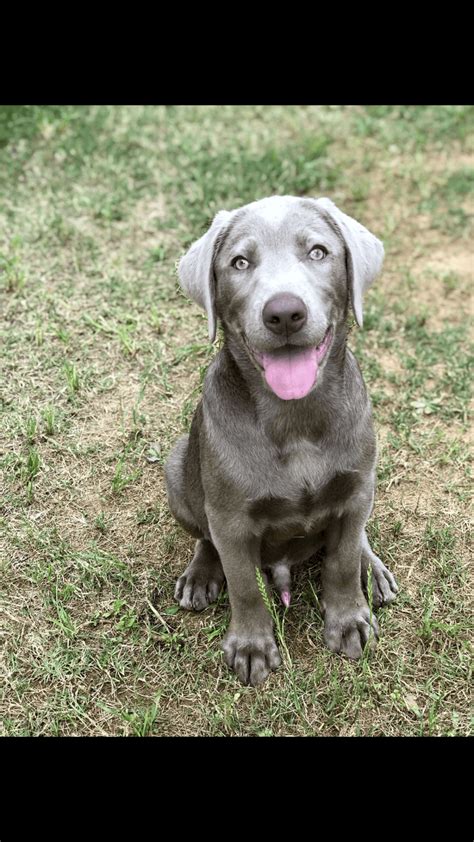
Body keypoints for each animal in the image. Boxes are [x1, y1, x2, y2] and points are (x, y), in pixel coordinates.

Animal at [165, 195, 398, 684]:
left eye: (318, 252)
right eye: (239, 262)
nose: (285, 313)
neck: (295, 418)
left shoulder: (355, 488)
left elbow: (341, 560)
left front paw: (349, 619)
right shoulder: (232, 520)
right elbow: (244, 586)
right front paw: (252, 646)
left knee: (357, 535)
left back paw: (372, 568)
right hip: (177, 470)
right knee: (205, 538)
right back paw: (201, 574)